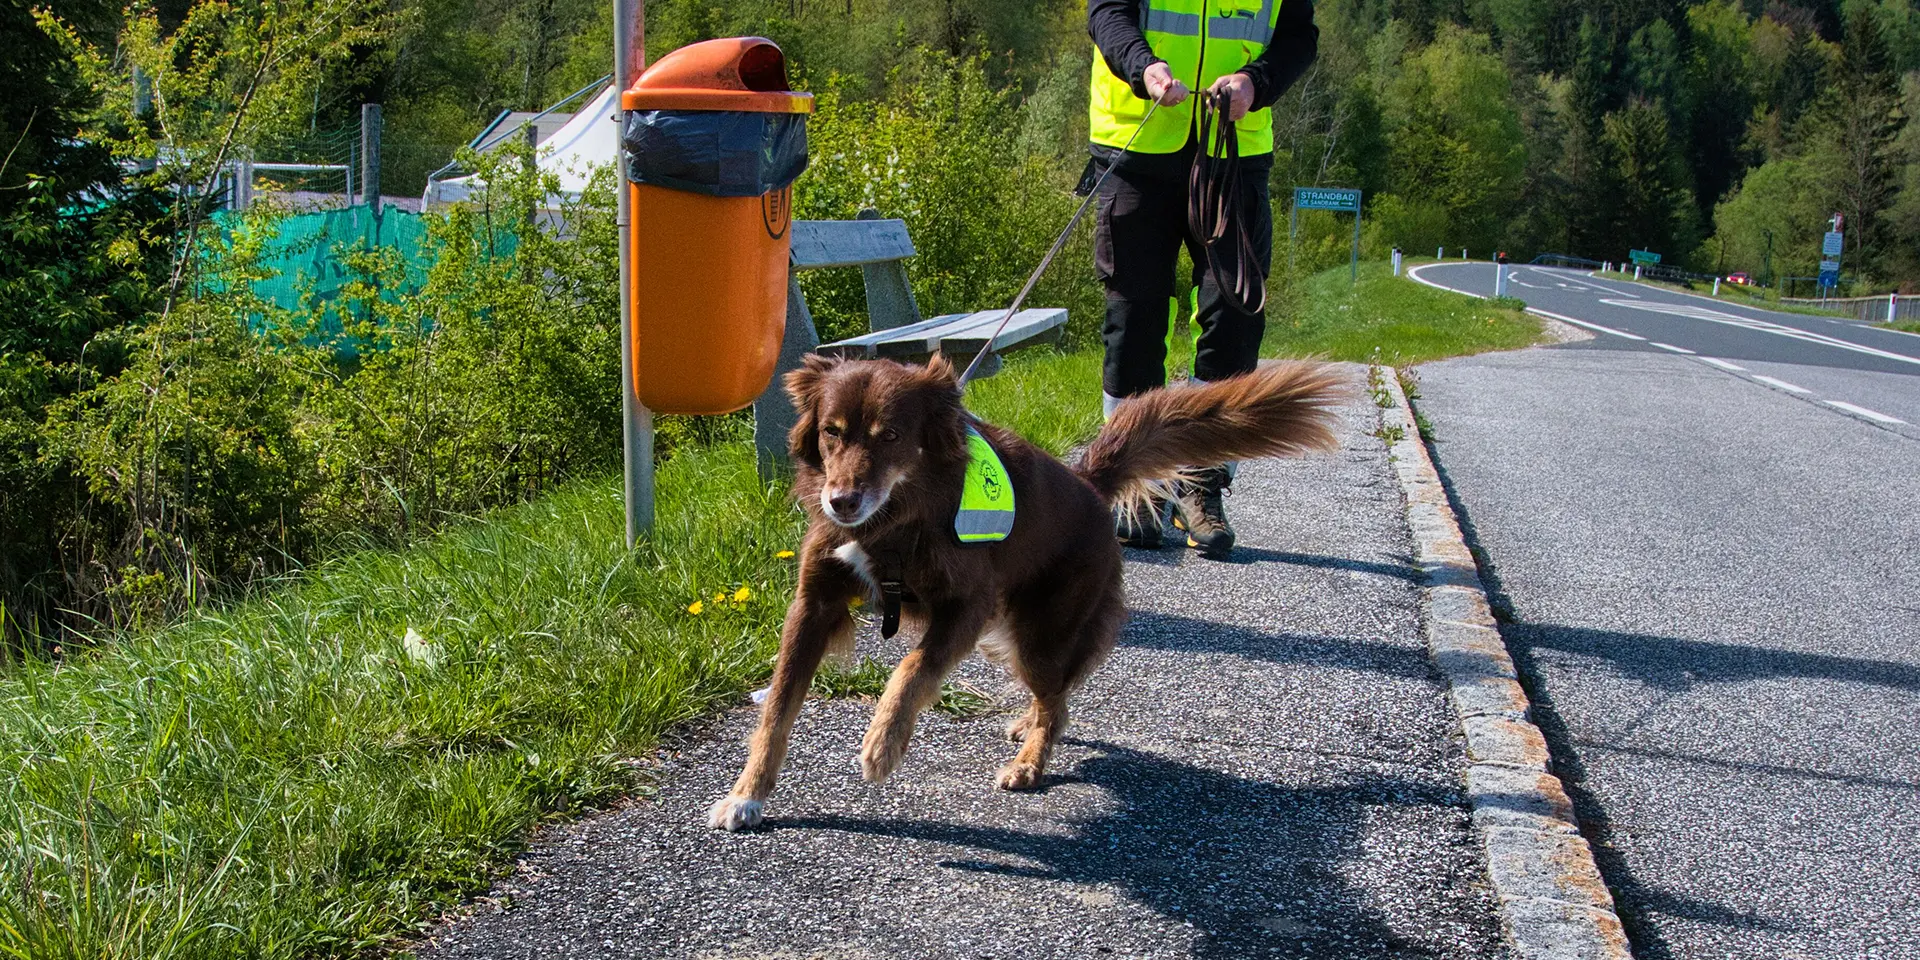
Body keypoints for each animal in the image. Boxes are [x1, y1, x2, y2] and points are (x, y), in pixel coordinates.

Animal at [710, 357, 1351, 829]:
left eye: (890, 435)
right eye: (831, 433)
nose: (840, 502)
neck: (892, 520)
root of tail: (1090, 487)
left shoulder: (966, 607)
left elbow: (912, 670)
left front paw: (884, 742)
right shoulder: (813, 604)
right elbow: (777, 708)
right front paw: (747, 794)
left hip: (1038, 631)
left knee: (1059, 700)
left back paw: (1029, 762)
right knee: (1053, 697)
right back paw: (1025, 724)